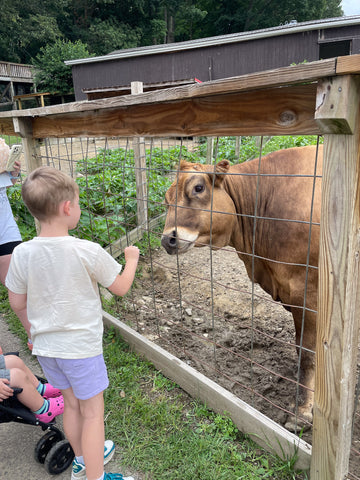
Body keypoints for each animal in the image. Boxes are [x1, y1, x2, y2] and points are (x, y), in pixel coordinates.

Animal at [162, 144, 322, 430]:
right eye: (167, 199)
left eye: (198, 188)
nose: (167, 238)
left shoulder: (308, 293)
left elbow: (307, 352)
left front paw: (302, 412)